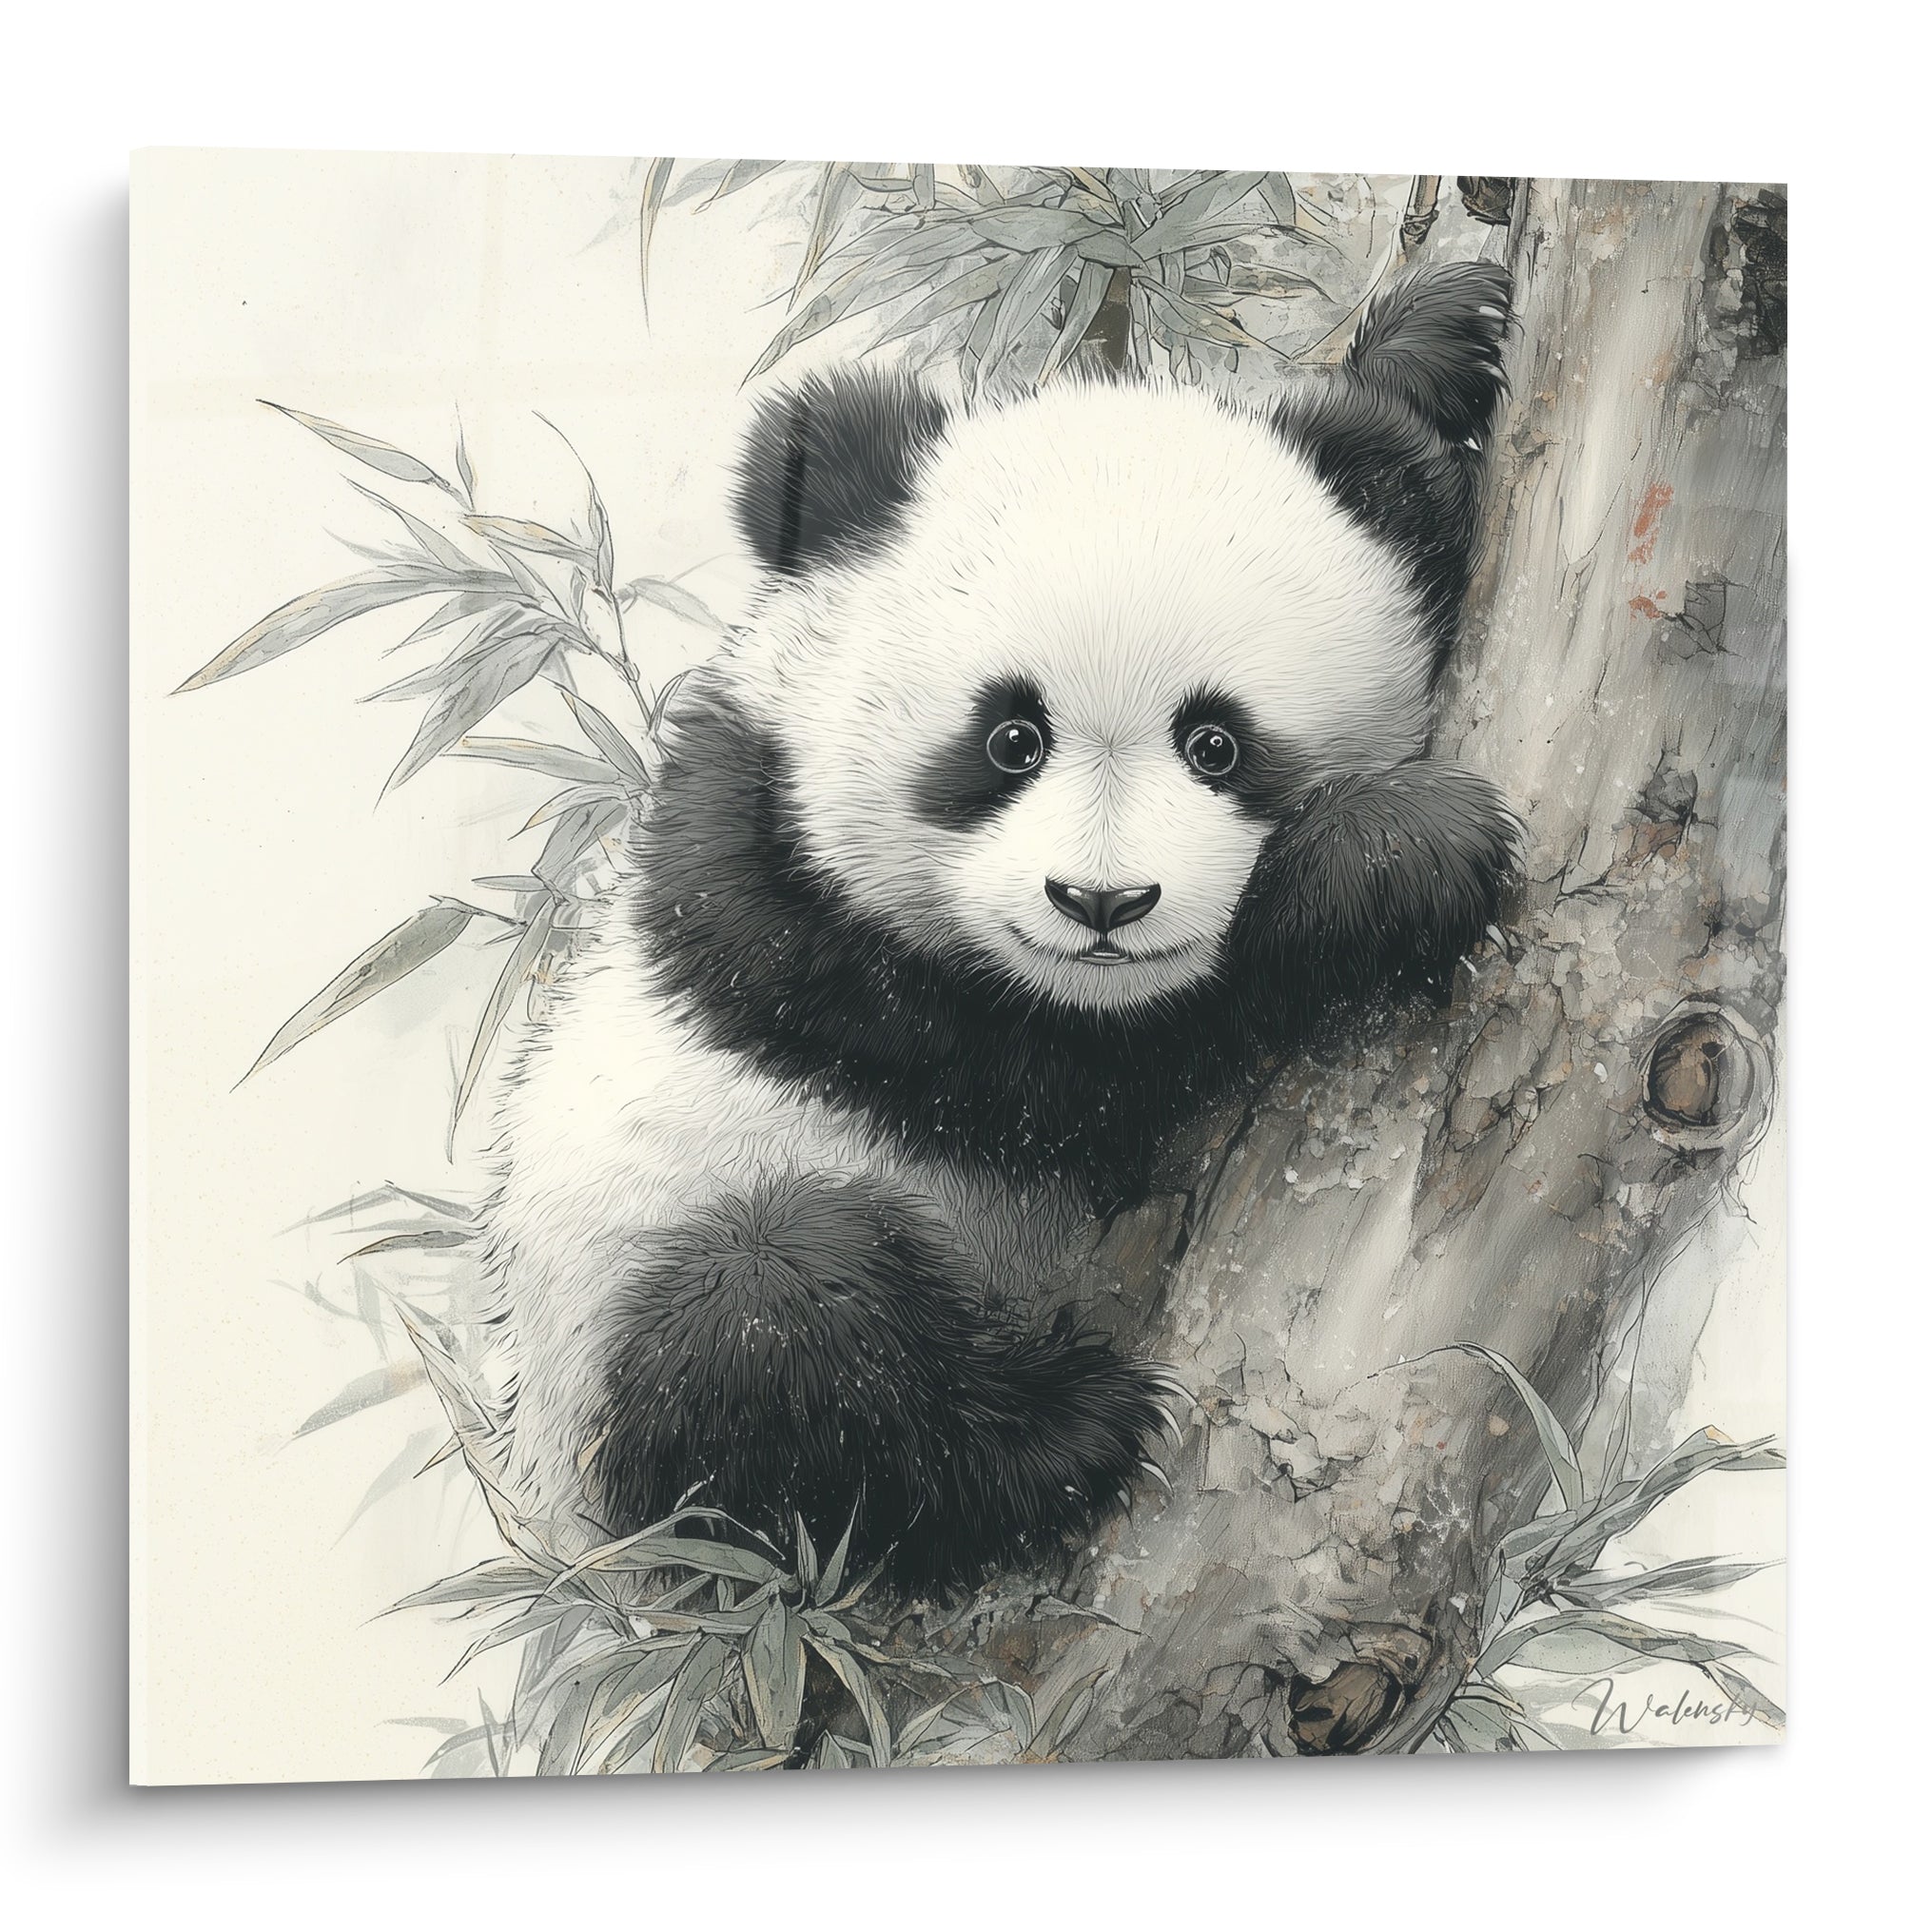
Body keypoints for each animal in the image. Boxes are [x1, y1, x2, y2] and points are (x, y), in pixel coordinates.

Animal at [483, 260, 1520, 1592]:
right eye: (1010, 738)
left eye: (1217, 743)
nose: (1102, 905)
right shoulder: (788, 916)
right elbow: (1088, 1066)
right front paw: (1399, 854)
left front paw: (1438, 345)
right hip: (627, 1360)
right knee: (782, 1320)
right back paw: (1057, 1431)